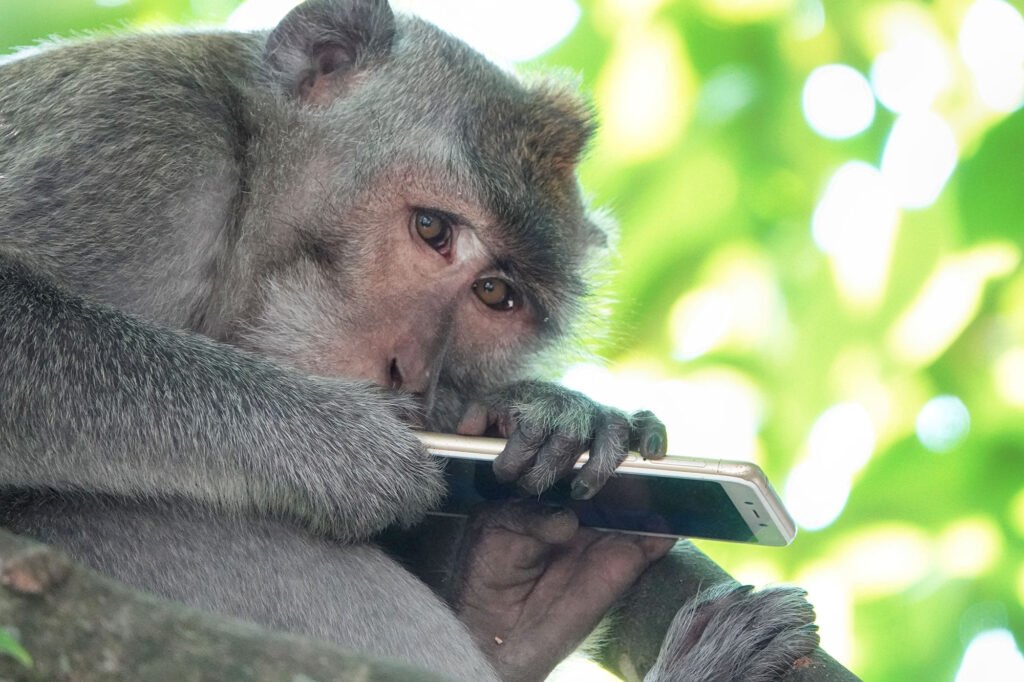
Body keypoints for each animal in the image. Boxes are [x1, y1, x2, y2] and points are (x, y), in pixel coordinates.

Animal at [0, 1, 820, 680]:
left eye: (496, 295)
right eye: (432, 229)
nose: (410, 369)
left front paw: (545, 426)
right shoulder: (133, 141)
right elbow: (16, 334)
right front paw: (337, 445)